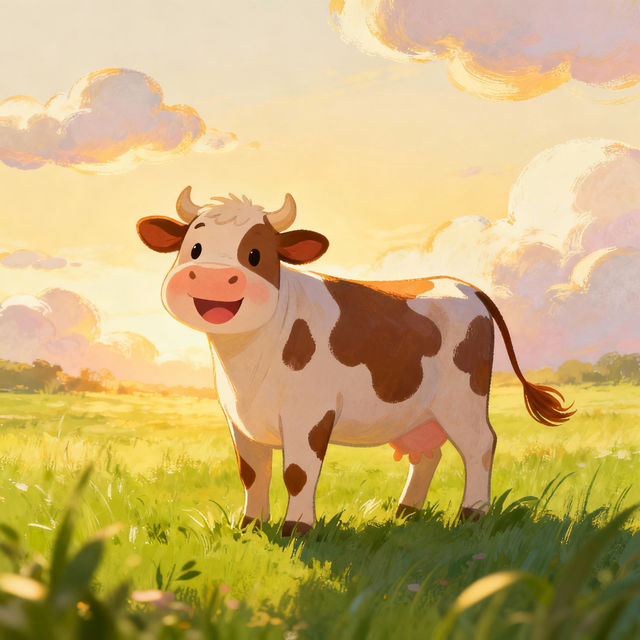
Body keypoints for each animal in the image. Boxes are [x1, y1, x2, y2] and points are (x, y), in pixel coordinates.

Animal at [137, 187, 575, 536]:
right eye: (193, 248)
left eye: (255, 254)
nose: (212, 277)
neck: (245, 364)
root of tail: (465, 286)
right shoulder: (239, 419)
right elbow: (252, 473)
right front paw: (249, 527)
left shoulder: (309, 413)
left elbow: (297, 473)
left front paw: (296, 529)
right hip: (420, 409)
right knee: (428, 454)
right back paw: (406, 512)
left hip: (463, 399)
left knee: (480, 445)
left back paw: (472, 515)